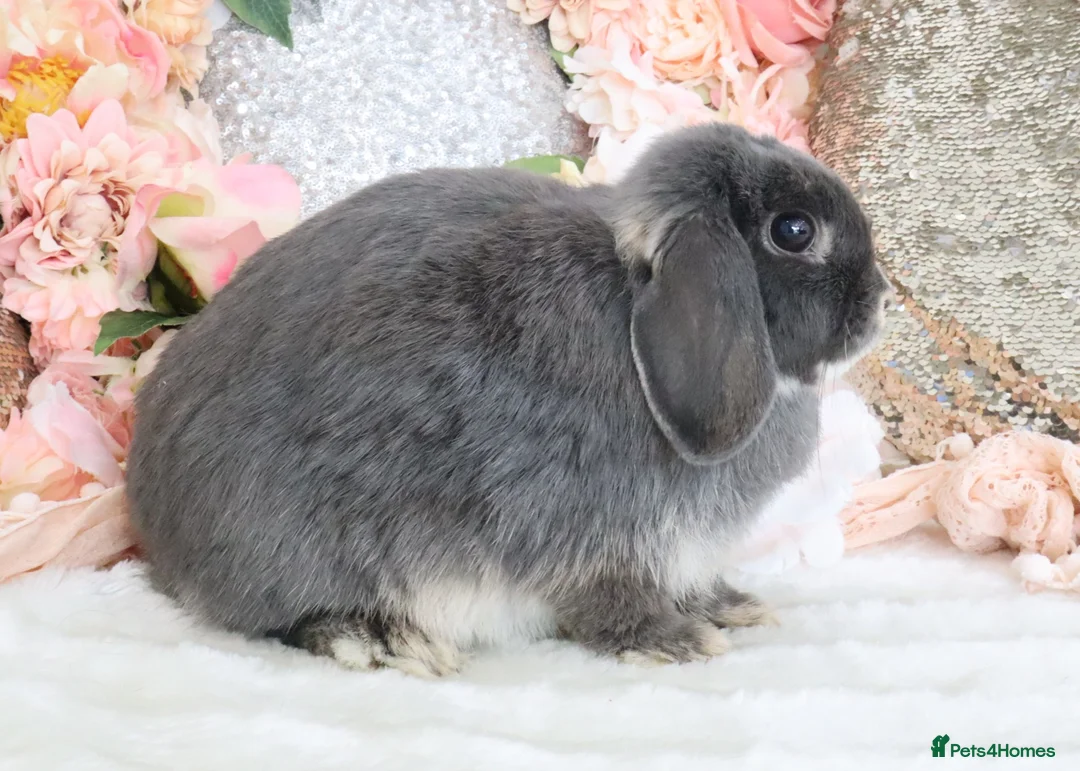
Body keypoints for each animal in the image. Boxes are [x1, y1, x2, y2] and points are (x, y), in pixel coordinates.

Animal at [127, 123, 890, 678]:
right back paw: (380, 638)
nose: (881, 300)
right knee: (285, 614)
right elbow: (608, 600)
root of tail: (157, 532)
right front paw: (672, 640)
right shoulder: (596, 534)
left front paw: (732, 606)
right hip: (301, 541)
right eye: (793, 230)